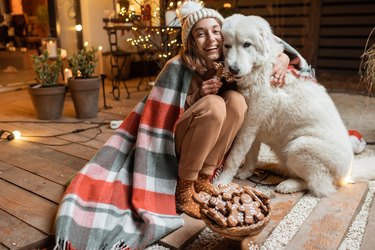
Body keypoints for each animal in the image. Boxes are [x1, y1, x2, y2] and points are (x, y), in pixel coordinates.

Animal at [214, 14, 368, 197]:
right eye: (227, 45)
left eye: (247, 44)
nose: (233, 69)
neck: (261, 68)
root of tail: (348, 172)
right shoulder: (254, 128)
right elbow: (251, 154)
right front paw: (246, 172)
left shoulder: (249, 125)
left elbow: (234, 156)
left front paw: (222, 180)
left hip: (299, 146)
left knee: (318, 185)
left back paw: (288, 185)